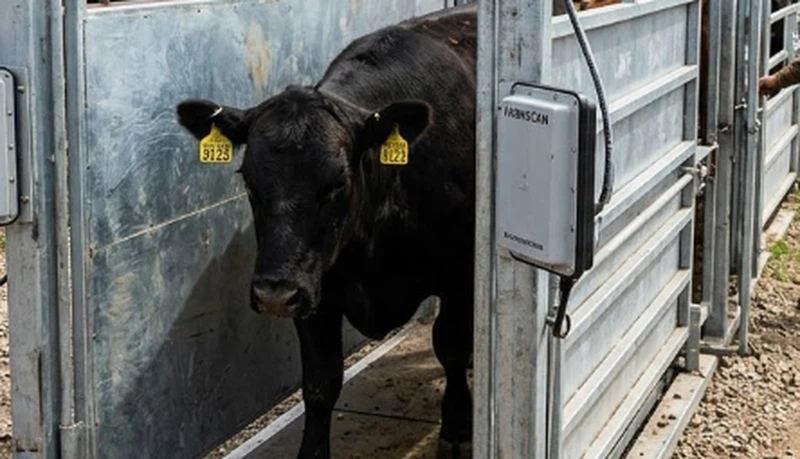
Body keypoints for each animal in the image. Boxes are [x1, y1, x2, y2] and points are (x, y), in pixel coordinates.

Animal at [176, 4, 477, 458]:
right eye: (249, 180)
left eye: (338, 183)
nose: (273, 294)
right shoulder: (314, 286)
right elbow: (320, 382)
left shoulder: (460, 275)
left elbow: (452, 349)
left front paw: (457, 428)